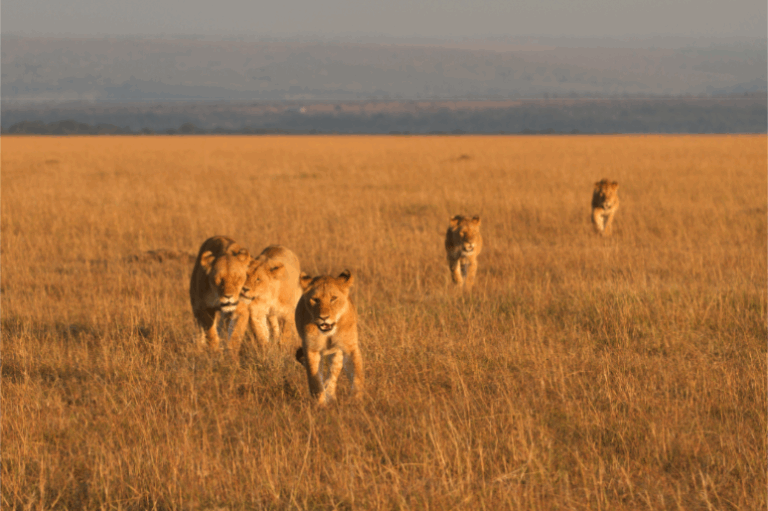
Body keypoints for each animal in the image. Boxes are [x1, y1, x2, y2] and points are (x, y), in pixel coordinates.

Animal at [294, 270, 364, 405]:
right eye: (315, 299)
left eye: (333, 298)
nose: (324, 317)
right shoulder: (312, 349)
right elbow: (315, 379)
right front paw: (320, 404)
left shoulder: (349, 347)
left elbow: (357, 373)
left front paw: (356, 399)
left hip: (337, 353)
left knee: (333, 374)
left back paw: (331, 396)